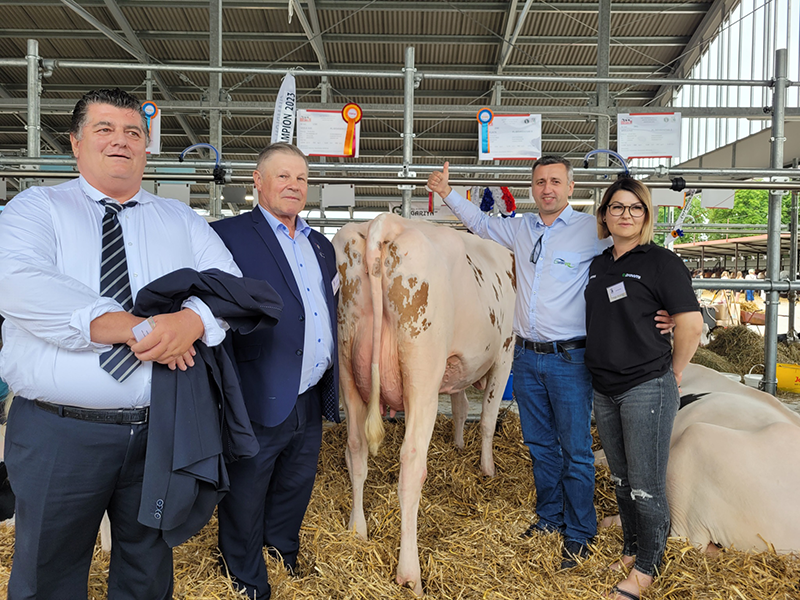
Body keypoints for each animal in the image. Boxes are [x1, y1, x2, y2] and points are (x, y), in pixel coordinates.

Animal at [332, 213, 516, 592]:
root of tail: (385, 222)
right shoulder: (506, 349)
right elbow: (487, 418)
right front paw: (487, 468)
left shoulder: (456, 363)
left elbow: (461, 406)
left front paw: (459, 444)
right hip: (422, 373)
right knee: (412, 463)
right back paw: (410, 574)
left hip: (347, 363)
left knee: (356, 448)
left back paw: (357, 530)